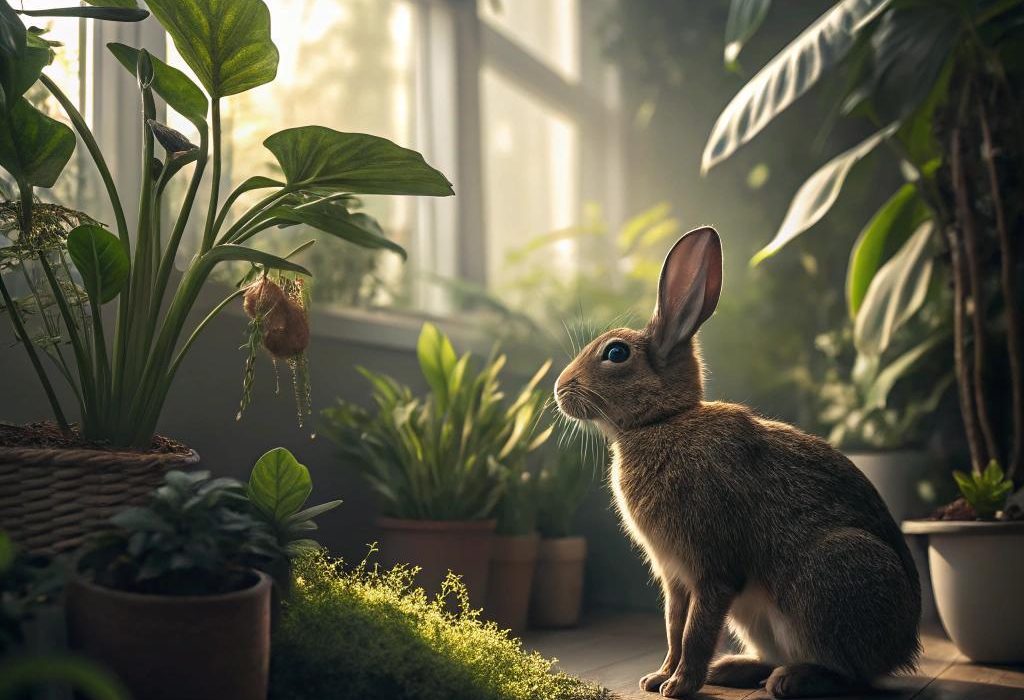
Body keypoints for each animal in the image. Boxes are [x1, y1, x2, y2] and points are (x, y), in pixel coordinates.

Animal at [554, 227, 920, 699]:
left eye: (616, 354)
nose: (559, 388)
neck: (664, 421)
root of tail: (903, 648)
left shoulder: (713, 570)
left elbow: (696, 631)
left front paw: (679, 685)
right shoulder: (675, 578)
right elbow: (674, 627)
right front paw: (657, 678)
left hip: (830, 579)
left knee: (849, 672)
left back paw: (789, 679)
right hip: (757, 616)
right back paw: (730, 670)